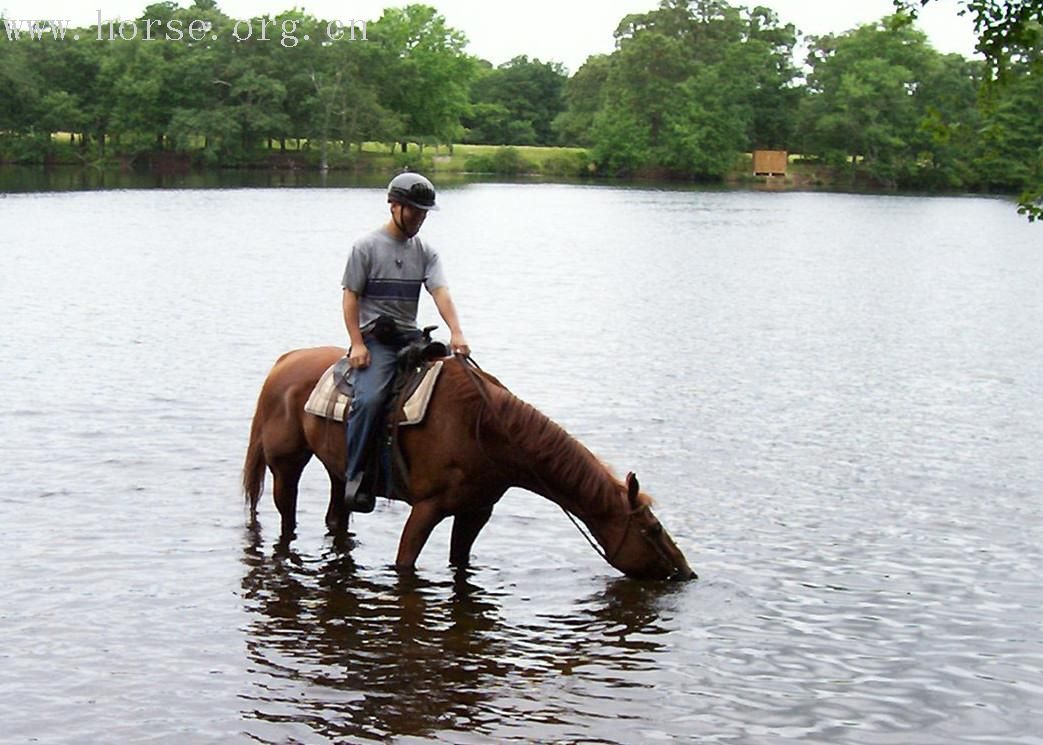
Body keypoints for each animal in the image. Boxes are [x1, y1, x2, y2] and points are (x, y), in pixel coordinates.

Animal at [244, 346, 696, 580]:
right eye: (652, 530)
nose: (685, 573)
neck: (485, 429)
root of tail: (285, 362)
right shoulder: (426, 509)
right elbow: (405, 563)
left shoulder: (476, 511)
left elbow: (459, 560)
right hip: (287, 466)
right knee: (287, 518)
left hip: (338, 471)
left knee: (337, 515)